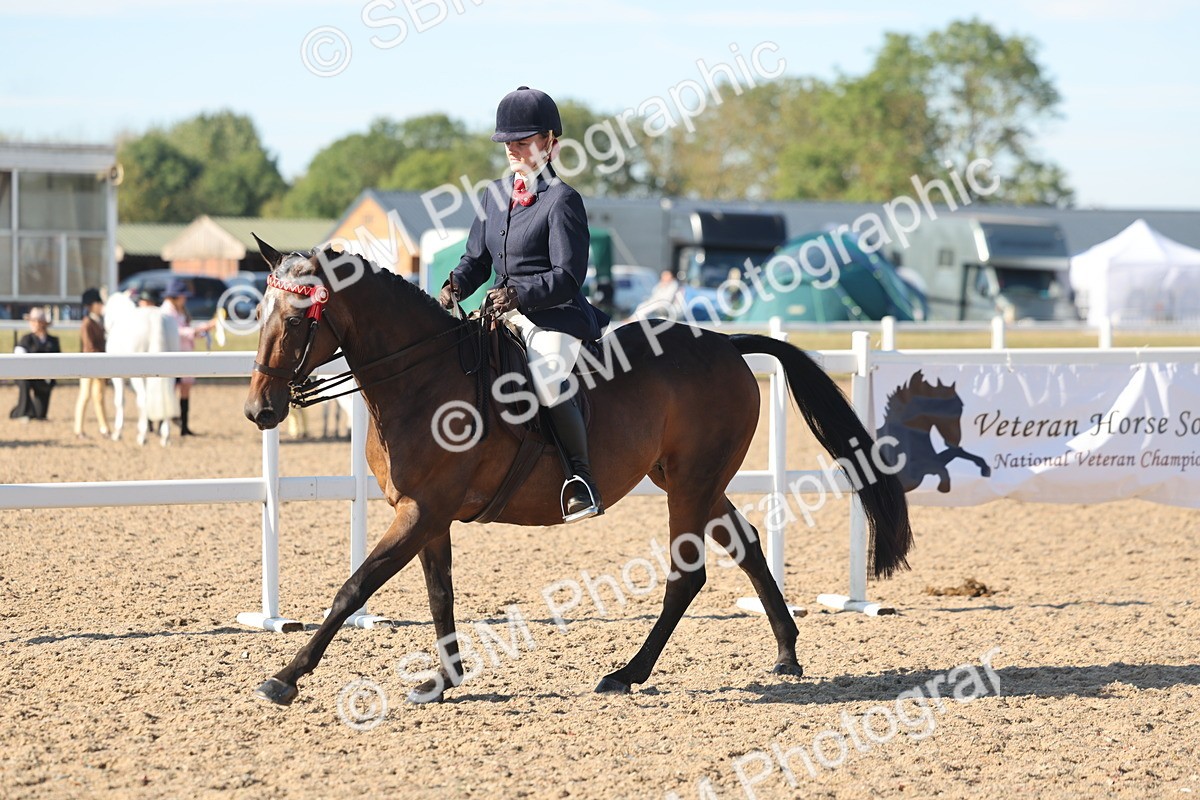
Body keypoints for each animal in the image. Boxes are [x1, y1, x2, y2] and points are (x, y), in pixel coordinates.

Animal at [243, 239, 914, 706]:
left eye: (298, 320)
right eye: (260, 314)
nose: (260, 411)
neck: (422, 377)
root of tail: (723, 342)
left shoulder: (423, 510)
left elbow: (354, 588)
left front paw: (284, 678)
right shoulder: (425, 514)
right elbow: (440, 596)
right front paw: (443, 680)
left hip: (691, 485)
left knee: (685, 577)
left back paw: (627, 674)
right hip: (691, 481)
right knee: (746, 545)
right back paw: (785, 654)